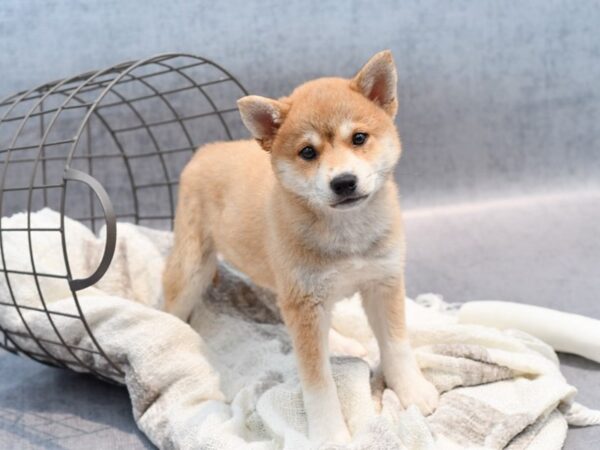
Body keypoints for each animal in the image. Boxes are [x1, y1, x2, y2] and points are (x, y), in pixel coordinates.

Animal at [162, 50, 438, 442]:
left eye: (359, 138)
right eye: (308, 152)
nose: (344, 182)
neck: (346, 234)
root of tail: (205, 150)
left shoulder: (382, 282)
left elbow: (397, 345)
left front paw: (411, 390)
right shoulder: (304, 302)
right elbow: (318, 383)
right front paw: (329, 434)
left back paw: (338, 342)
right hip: (193, 270)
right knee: (170, 308)